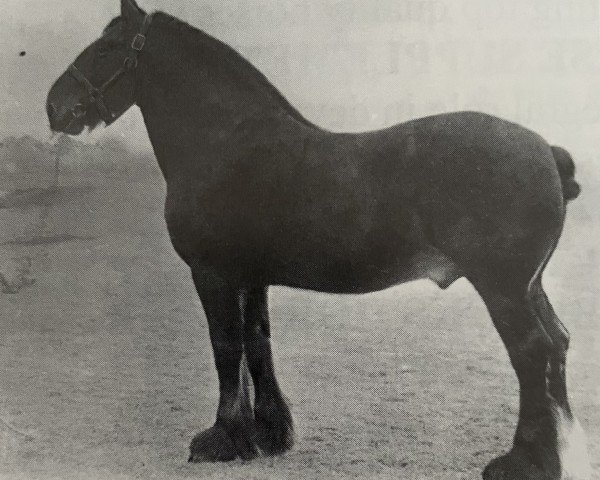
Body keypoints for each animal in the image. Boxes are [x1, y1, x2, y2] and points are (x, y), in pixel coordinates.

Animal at [45, 1, 592, 478]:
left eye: (108, 46)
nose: (54, 106)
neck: (225, 141)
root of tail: (545, 149)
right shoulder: (250, 278)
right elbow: (256, 344)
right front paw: (269, 436)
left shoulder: (213, 274)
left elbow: (226, 347)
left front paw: (222, 439)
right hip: (528, 286)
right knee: (558, 343)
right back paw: (565, 450)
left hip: (503, 289)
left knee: (532, 352)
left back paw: (524, 462)